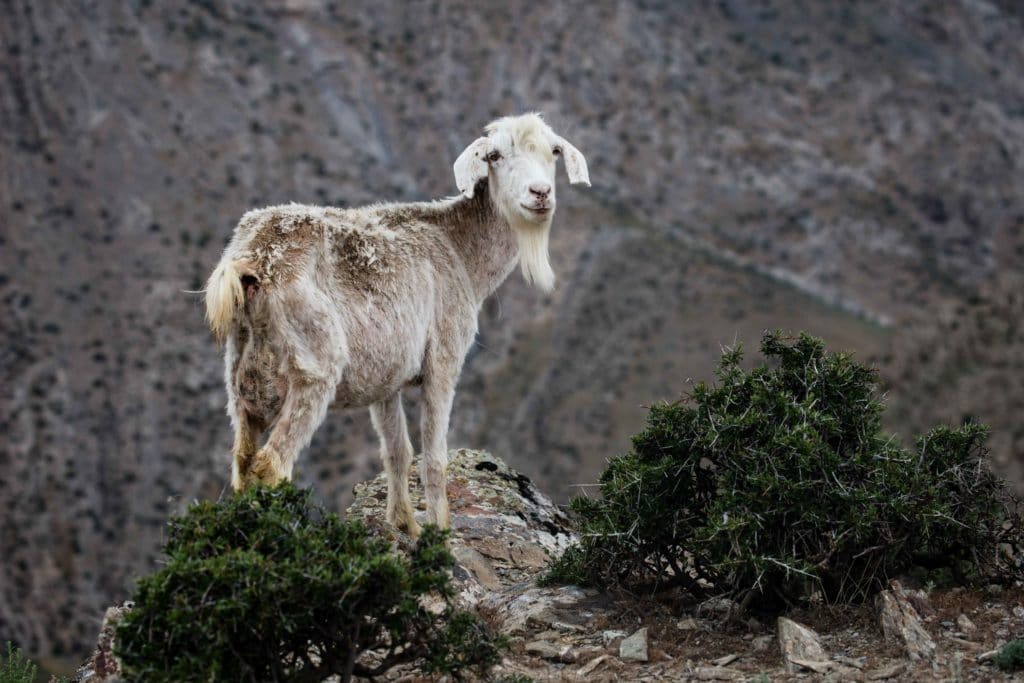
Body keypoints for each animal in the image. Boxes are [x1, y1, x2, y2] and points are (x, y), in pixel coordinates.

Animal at [205, 114, 593, 536]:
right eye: (495, 155)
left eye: (553, 151)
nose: (540, 193)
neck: (458, 249)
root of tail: (252, 260)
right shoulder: (443, 359)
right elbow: (434, 459)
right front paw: (439, 533)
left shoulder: (384, 380)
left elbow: (397, 451)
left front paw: (404, 525)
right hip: (313, 364)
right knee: (271, 464)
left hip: (241, 378)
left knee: (242, 461)